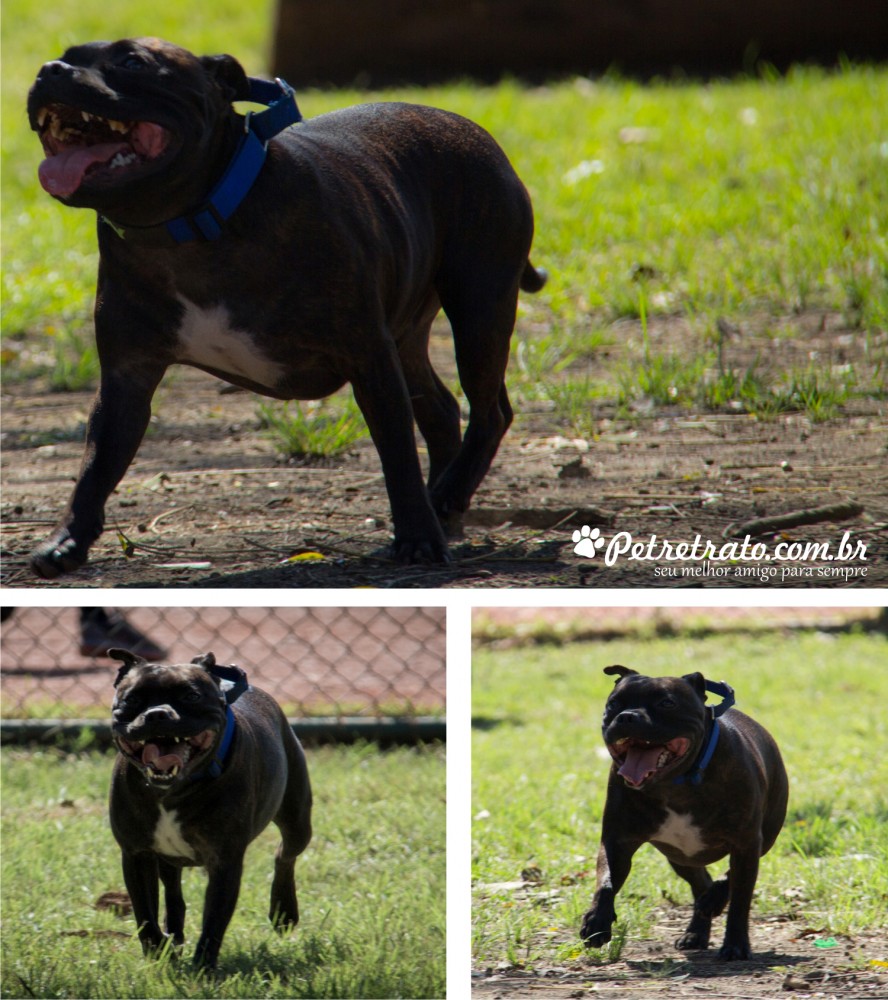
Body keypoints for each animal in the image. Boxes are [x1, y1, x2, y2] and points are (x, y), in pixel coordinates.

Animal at [26, 37, 548, 580]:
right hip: (409, 335)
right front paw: (66, 541)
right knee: (443, 409)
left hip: (479, 307)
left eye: (132, 62)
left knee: (491, 410)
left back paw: (445, 498)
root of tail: (471, 130)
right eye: (65, 54)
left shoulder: (370, 359)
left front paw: (417, 539)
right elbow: (96, 466)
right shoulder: (126, 379)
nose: (50, 70)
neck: (185, 226)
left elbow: (397, 455)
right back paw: (446, 503)